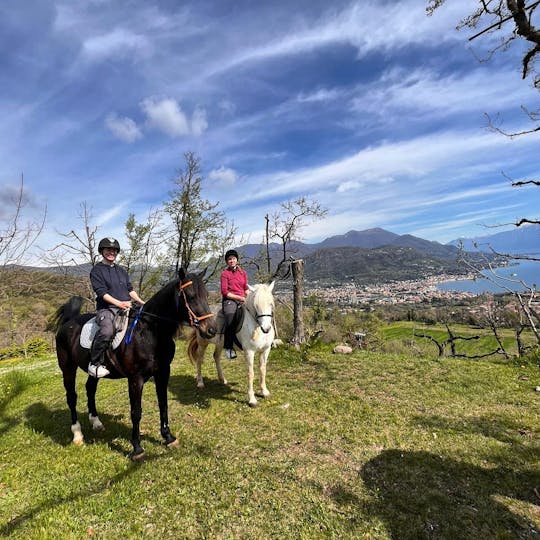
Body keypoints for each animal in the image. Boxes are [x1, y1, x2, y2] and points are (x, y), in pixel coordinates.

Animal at [51, 268, 216, 458]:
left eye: (206, 295)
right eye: (190, 296)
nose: (211, 330)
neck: (149, 332)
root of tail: (68, 323)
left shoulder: (163, 372)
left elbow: (163, 404)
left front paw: (168, 437)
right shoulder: (135, 379)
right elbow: (136, 412)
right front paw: (137, 448)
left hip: (94, 370)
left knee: (90, 389)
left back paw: (96, 423)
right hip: (67, 368)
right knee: (71, 397)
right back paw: (77, 434)